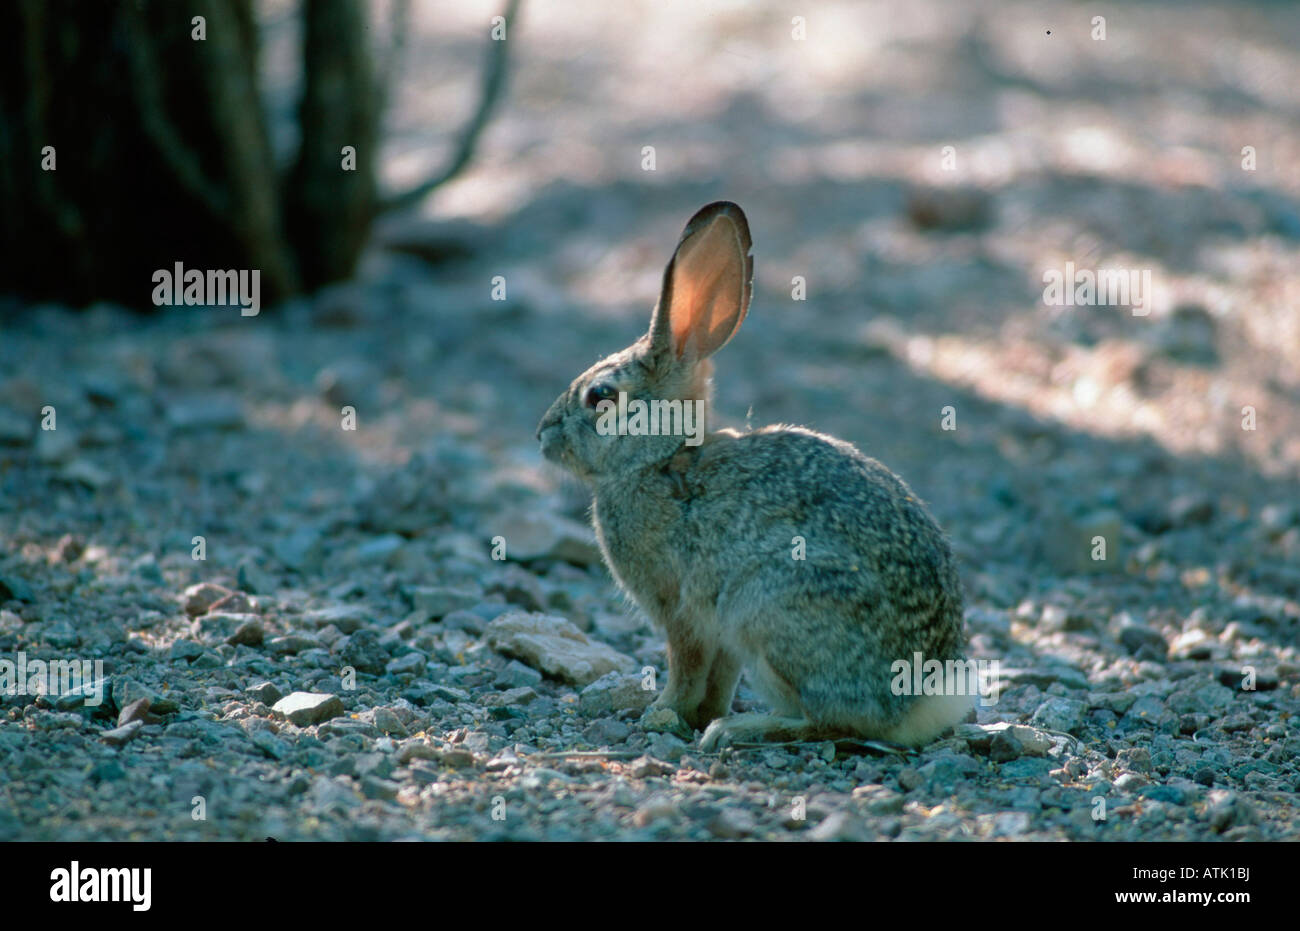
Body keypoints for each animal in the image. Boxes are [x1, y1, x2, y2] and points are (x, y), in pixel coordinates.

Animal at [533, 201, 972, 748]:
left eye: (600, 396)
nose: (542, 435)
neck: (659, 460)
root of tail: (918, 703)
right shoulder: (718, 632)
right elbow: (718, 675)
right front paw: (696, 713)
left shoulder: (682, 609)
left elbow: (685, 667)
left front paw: (660, 713)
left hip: (767, 608)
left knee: (829, 721)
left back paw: (736, 729)